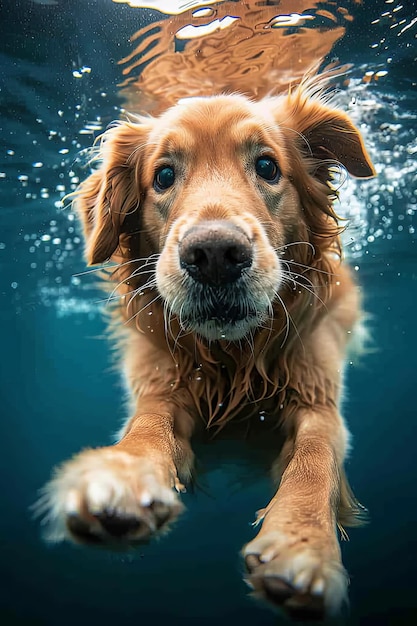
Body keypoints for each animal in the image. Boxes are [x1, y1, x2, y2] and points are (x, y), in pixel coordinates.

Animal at [38, 80, 374, 616]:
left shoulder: (318, 399)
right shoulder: (163, 386)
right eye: (163, 175)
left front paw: (303, 544)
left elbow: (314, 460)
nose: (214, 255)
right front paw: (123, 477)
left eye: (267, 166)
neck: (233, 359)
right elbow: (146, 427)